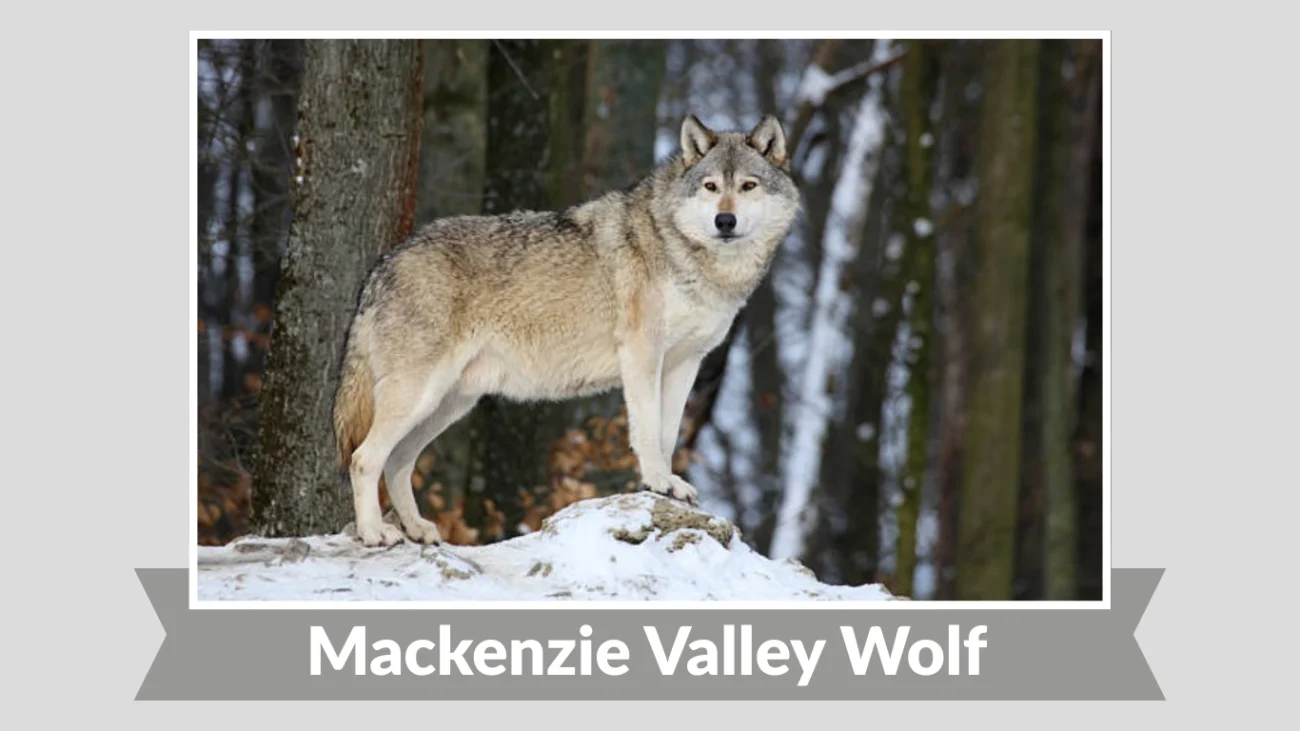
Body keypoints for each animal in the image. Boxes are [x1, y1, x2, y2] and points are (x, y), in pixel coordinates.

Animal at [332, 114, 800, 546]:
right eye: (710, 186)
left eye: (748, 186)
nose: (725, 221)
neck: (688, 254)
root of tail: (381, 265)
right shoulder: (642, 353)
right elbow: (648, 430)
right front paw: (656, 480)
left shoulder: (685, 363)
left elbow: (668, 434)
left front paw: (669, 486)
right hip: (418, 396)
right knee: (364, 458)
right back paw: (374, 533)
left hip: (449, 404)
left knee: (397, 462)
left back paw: (416, 529)